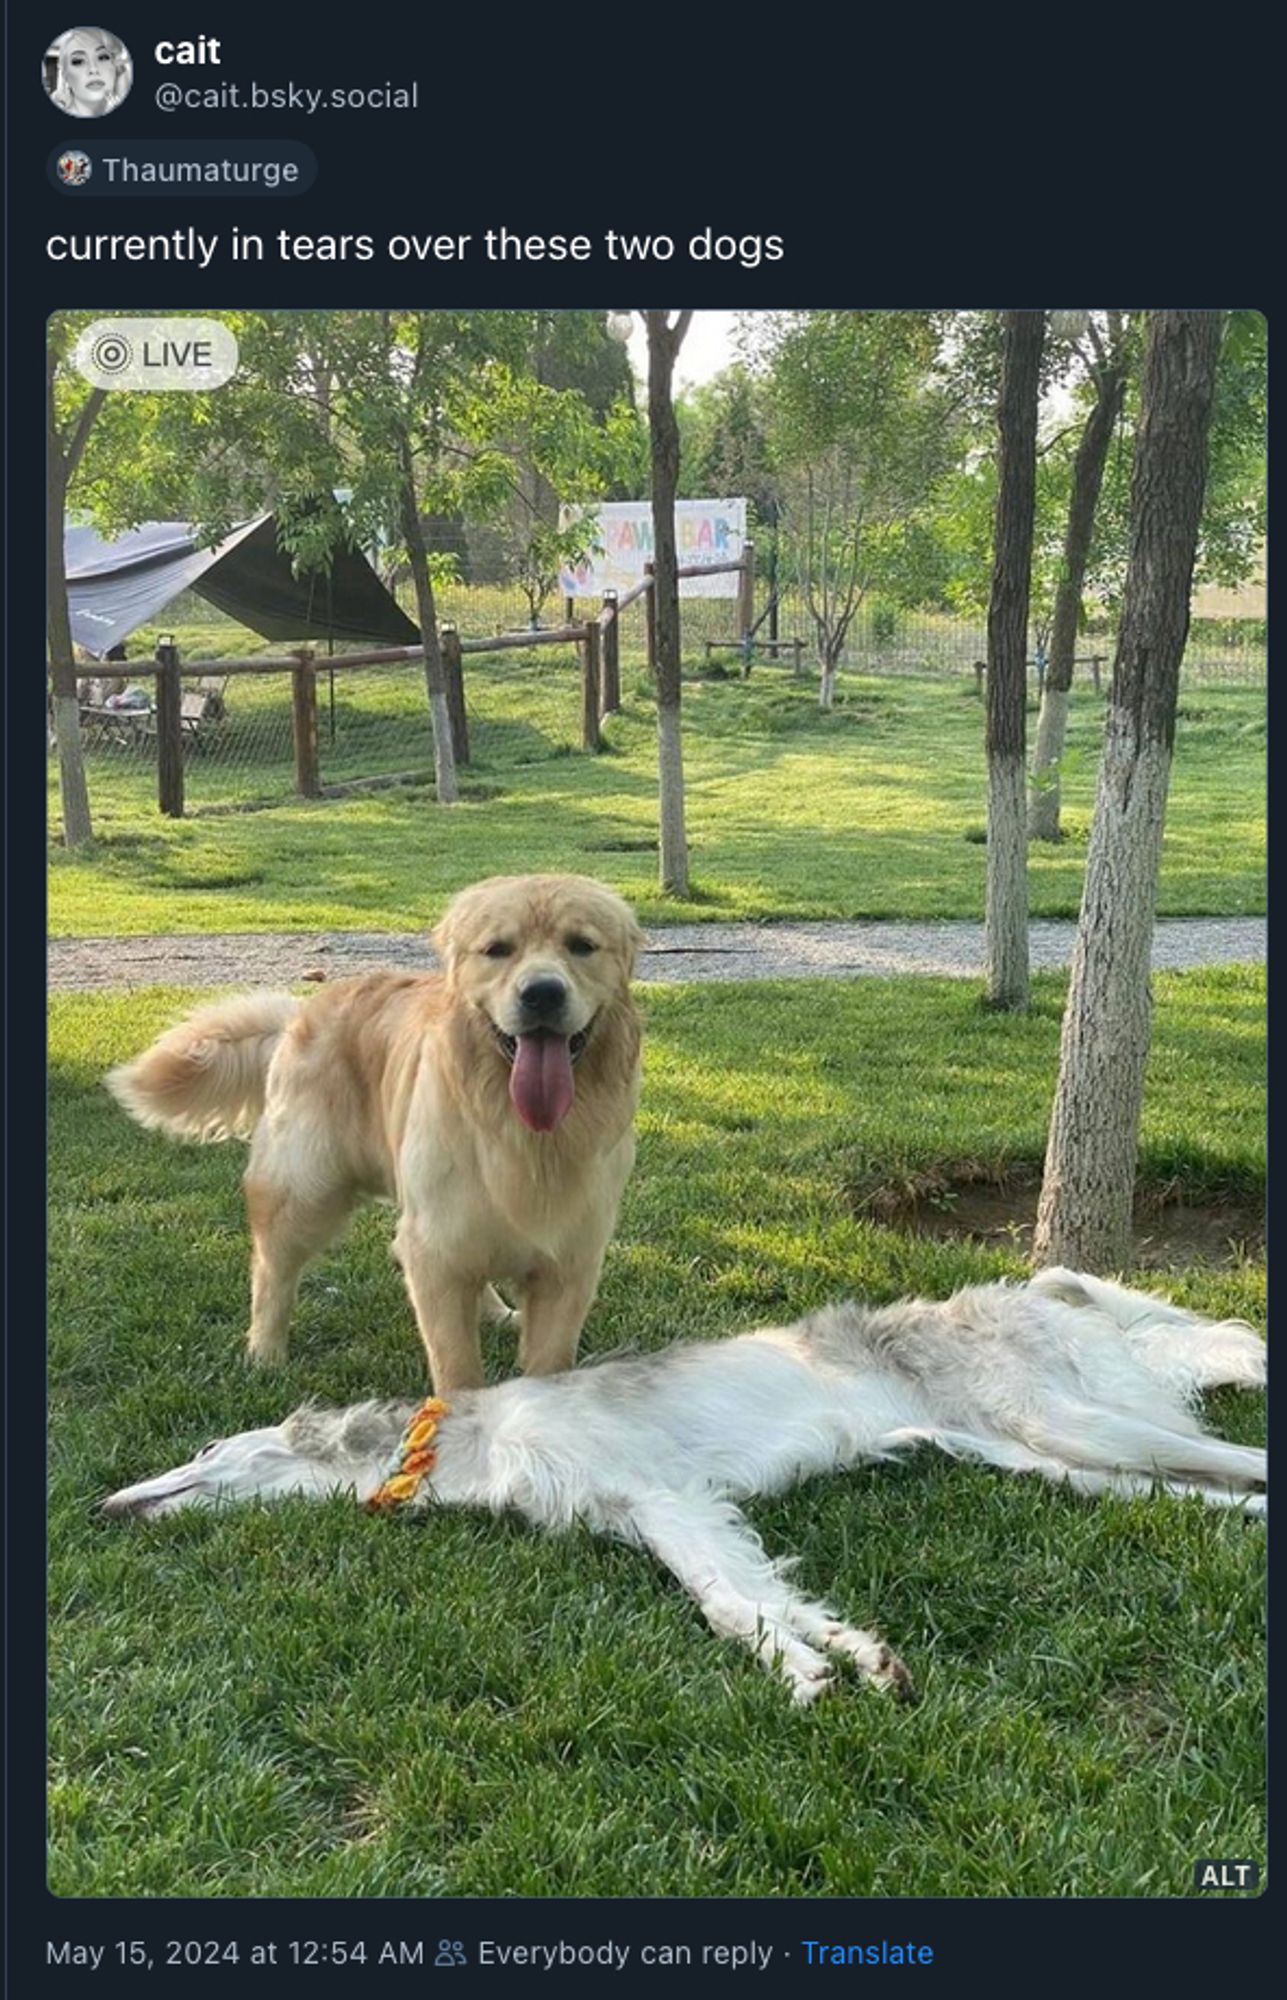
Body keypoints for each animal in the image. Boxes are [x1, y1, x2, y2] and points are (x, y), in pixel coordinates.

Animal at [102, 1272, 1263, 1712]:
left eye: (210, 1445)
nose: (106, 1508)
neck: (469, 1440)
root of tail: (1031, 1284)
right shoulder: (667, 1514)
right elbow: (751, 1597)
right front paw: (842, 1659)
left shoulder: (659, 1495)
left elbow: (729, 1606)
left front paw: (805, 1676)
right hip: (1050, 1458)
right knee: (1203, 1489)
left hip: (1068, 1419)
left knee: (1239, 1450)